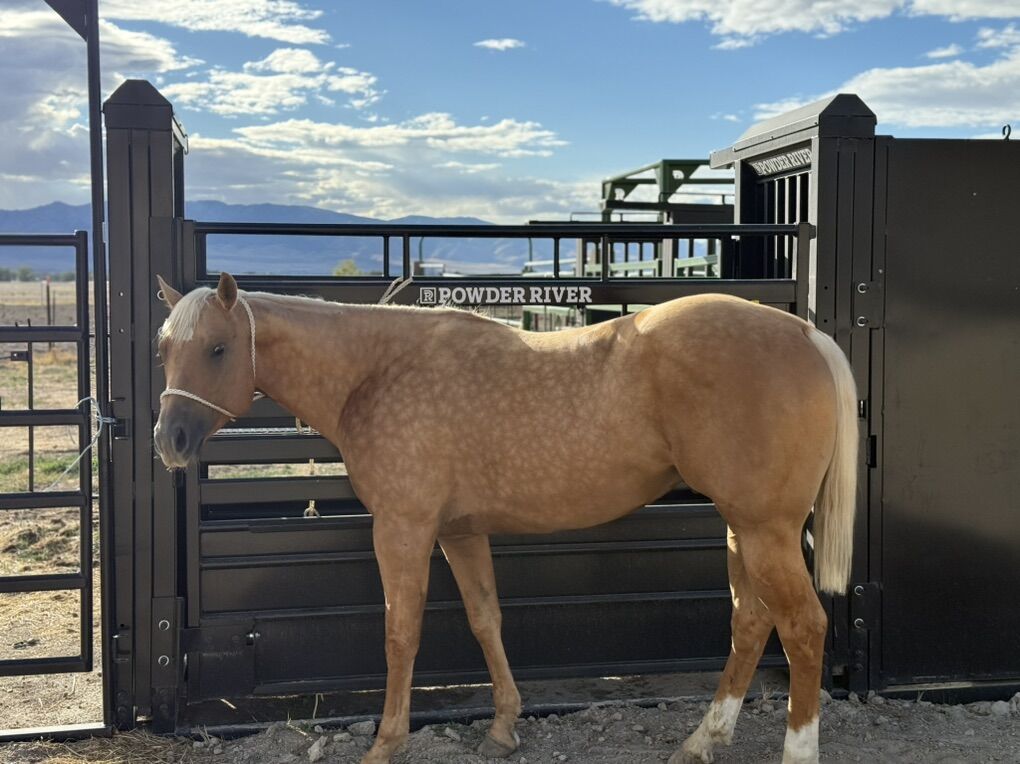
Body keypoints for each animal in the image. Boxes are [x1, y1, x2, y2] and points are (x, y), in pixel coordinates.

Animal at [153, 272, 857, 764]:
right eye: (165, 348)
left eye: (217, 348)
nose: (170, 440)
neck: (377, 370)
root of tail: (804, 333)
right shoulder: (461, 532)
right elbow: (485, 619)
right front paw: (502, 726)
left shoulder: (403, 528)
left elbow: (400, 632)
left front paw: (386, 741)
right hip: (744, 528)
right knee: (751, 621)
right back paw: (702, 739)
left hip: (764, 530)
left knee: (802, 627)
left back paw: (795, 750)